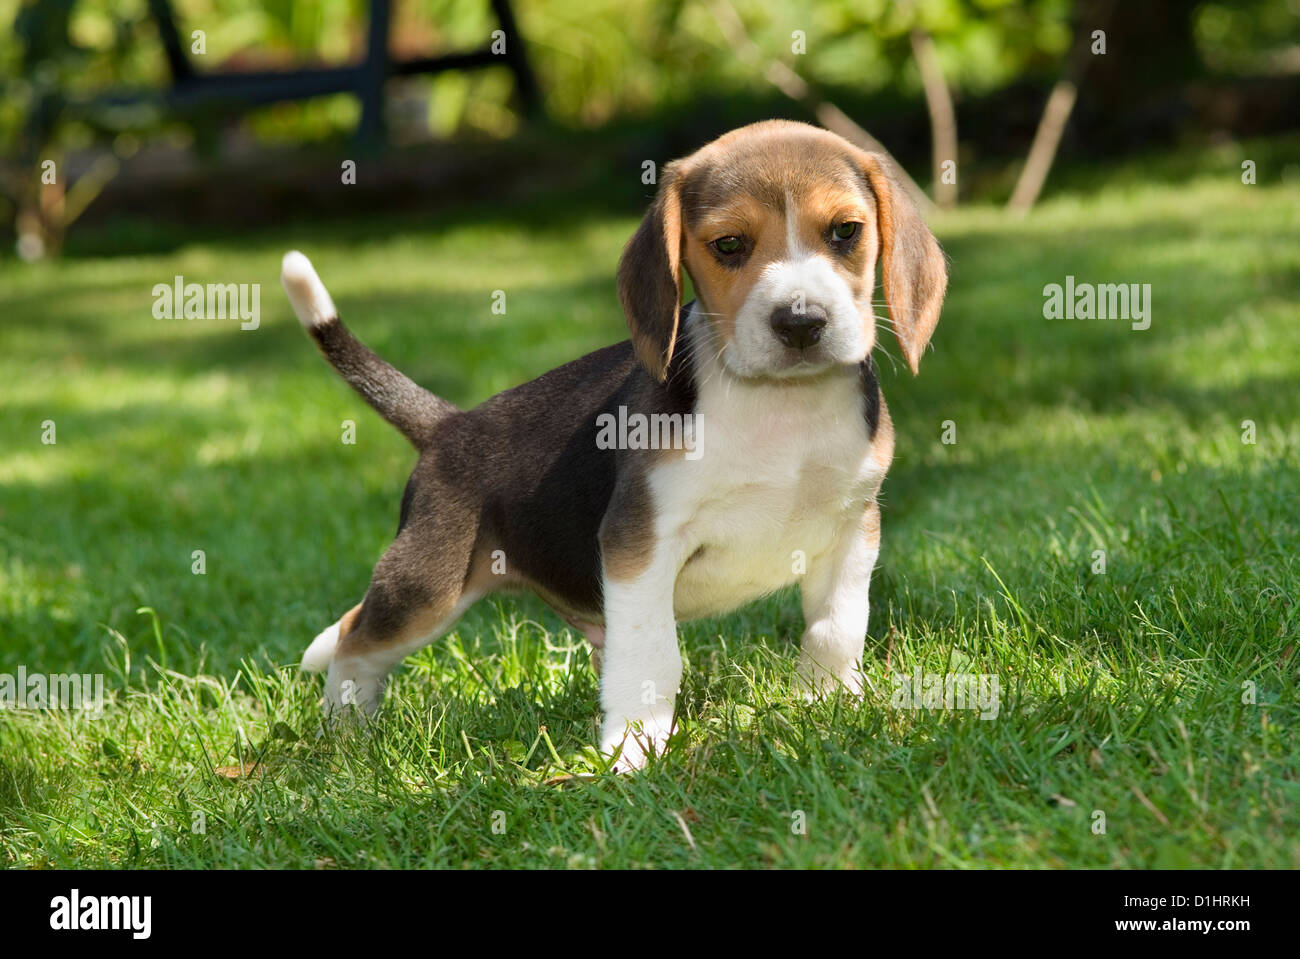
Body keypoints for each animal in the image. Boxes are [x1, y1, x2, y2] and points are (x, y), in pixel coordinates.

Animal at [282, 117, 946, 769]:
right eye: (729, 245)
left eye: (845, 232)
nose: (802, 322)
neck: (783, 408)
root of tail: (450, 424)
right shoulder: (641, 542)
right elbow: (654, 657)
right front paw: (632, 749)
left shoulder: (853, 525)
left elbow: (836, 626)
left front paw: (827, 705)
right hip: (429, 585)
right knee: (357, 639)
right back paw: (344, 734)